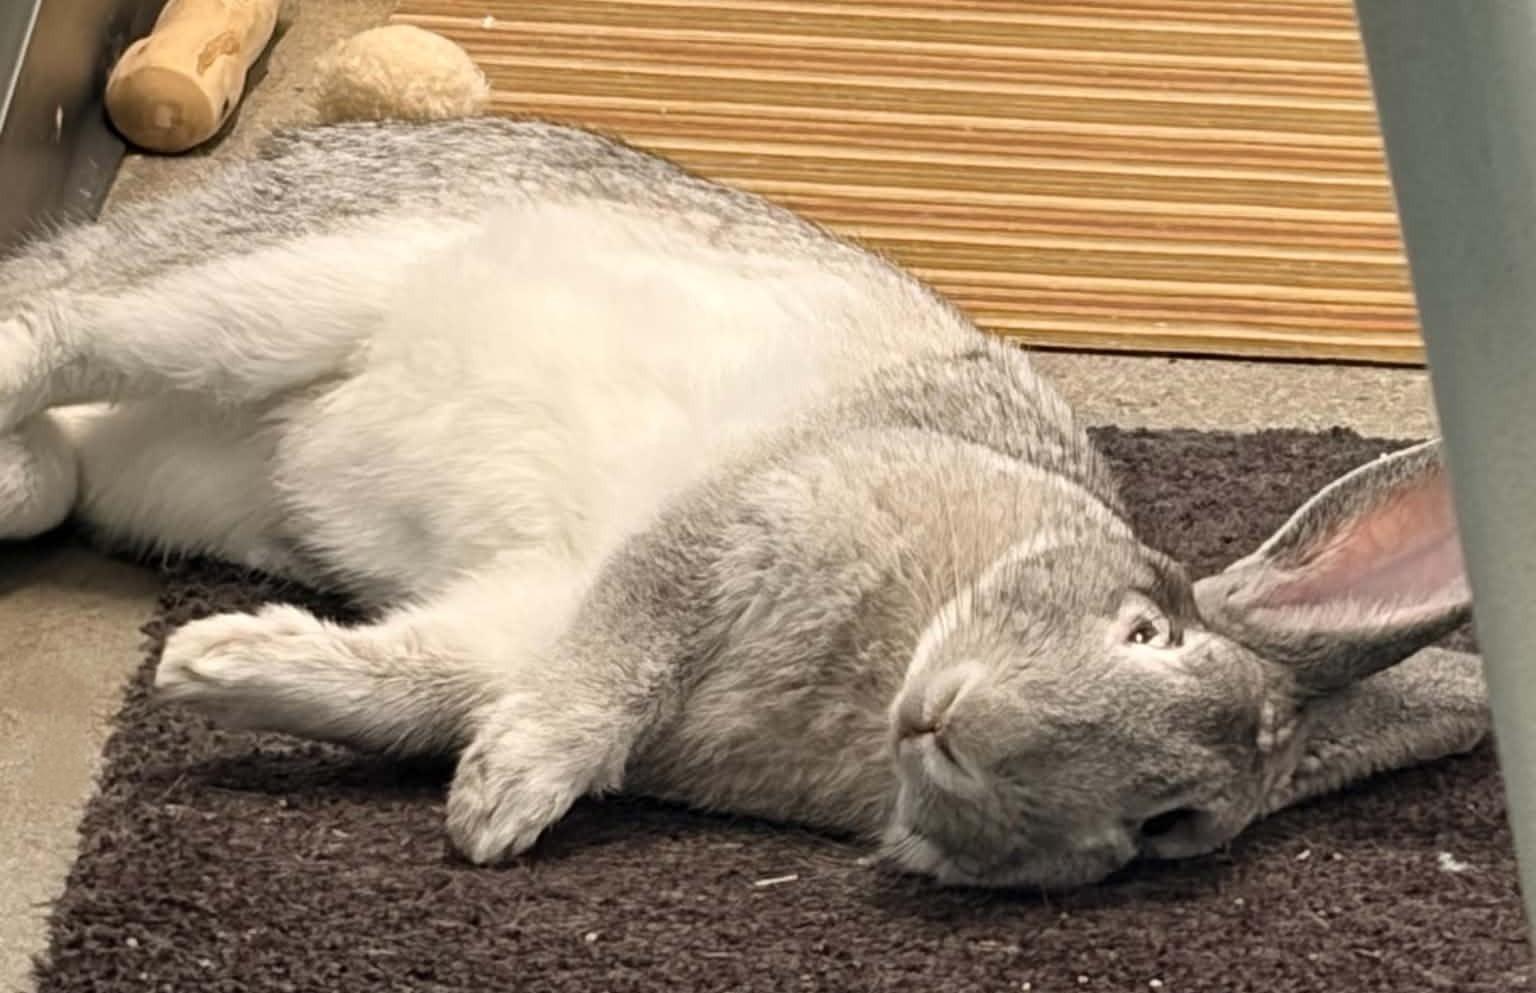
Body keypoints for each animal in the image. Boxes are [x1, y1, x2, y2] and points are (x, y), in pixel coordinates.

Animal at [0, 117, 1487, 889]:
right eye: (1146, 631)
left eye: (1166, 833)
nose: (960, 729)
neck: (899, 657)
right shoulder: (741, 518)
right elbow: (621, 654)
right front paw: (505, 805)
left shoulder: (516, 624)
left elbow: (413, 685)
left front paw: (220, 666)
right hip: (280, 290)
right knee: (58, 322)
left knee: (54, 458)